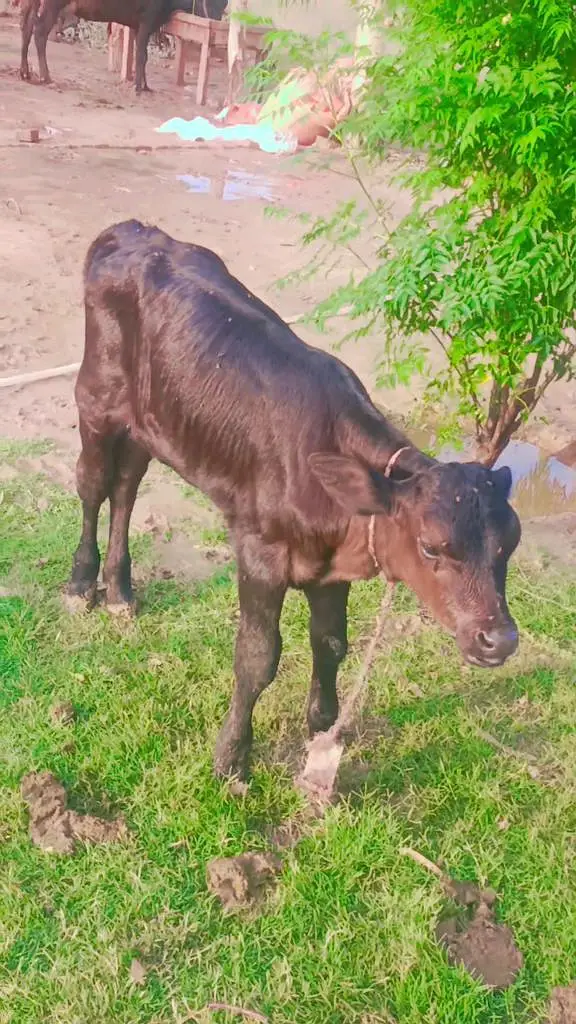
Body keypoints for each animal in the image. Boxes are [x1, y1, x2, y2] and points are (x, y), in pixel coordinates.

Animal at [19, 0, 227, 92]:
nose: (216, 20)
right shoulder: (146, 21)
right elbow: (142, 55)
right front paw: (139, 88)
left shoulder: (137, 25)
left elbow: (141, 56)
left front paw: (144, 84)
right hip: (52, 5)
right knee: (39, 32)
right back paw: (46, 77)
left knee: (26, 28)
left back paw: (25, 72)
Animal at [67, 220, 521, 780]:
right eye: (432, 546)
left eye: (508, 545)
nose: (499, 639)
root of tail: (131, 230)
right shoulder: (260, 553)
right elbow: (258, 657)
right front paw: (231, 758)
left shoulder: (333, 567)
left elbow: (331, 645)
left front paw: (322, 732)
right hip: (96, 398)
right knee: (93, 483)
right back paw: (81, 583)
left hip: (148, 423)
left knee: (127, 485)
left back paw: (119, 590)